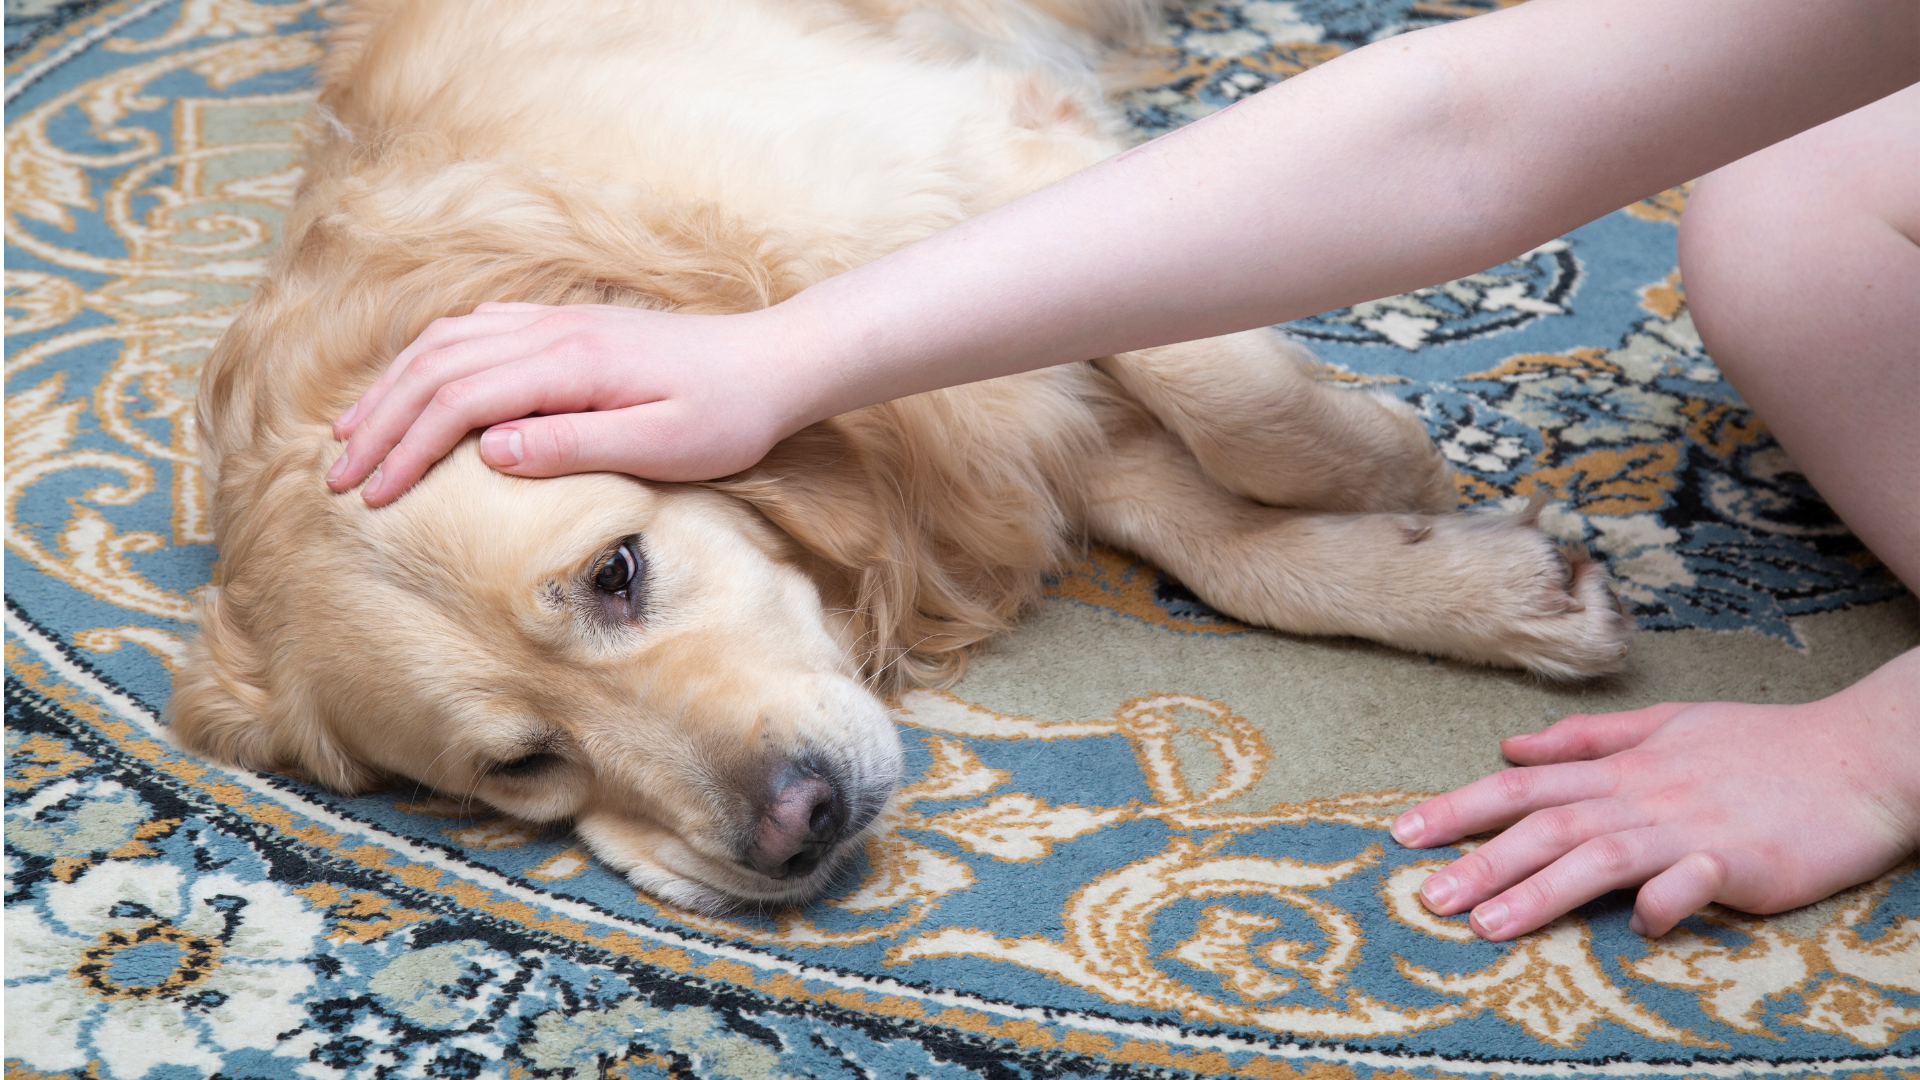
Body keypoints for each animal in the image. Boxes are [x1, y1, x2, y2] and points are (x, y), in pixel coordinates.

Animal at [176, 0, 1635, 907]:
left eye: (615, 573)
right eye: (519, 765)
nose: (795, 826)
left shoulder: (985, 153)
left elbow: (1216, 382)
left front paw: (1387, 458)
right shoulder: (988, 431)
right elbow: (1214, 537)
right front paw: (1479, 584)